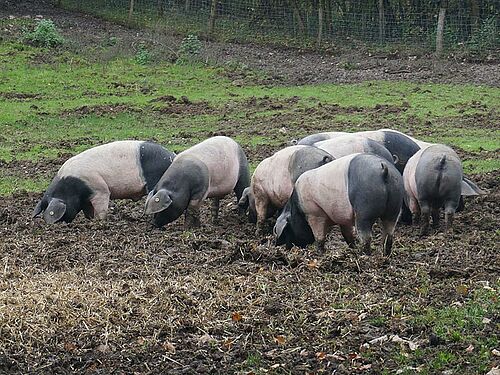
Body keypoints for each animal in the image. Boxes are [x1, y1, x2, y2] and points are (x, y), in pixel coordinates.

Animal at [31, 140, 176, 223]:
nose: (59, 224)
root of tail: (173, 156)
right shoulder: (85, 199)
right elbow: (87, 210)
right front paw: (90, 220)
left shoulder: (100, 189)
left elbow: (101, 208)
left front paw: (99, 222)